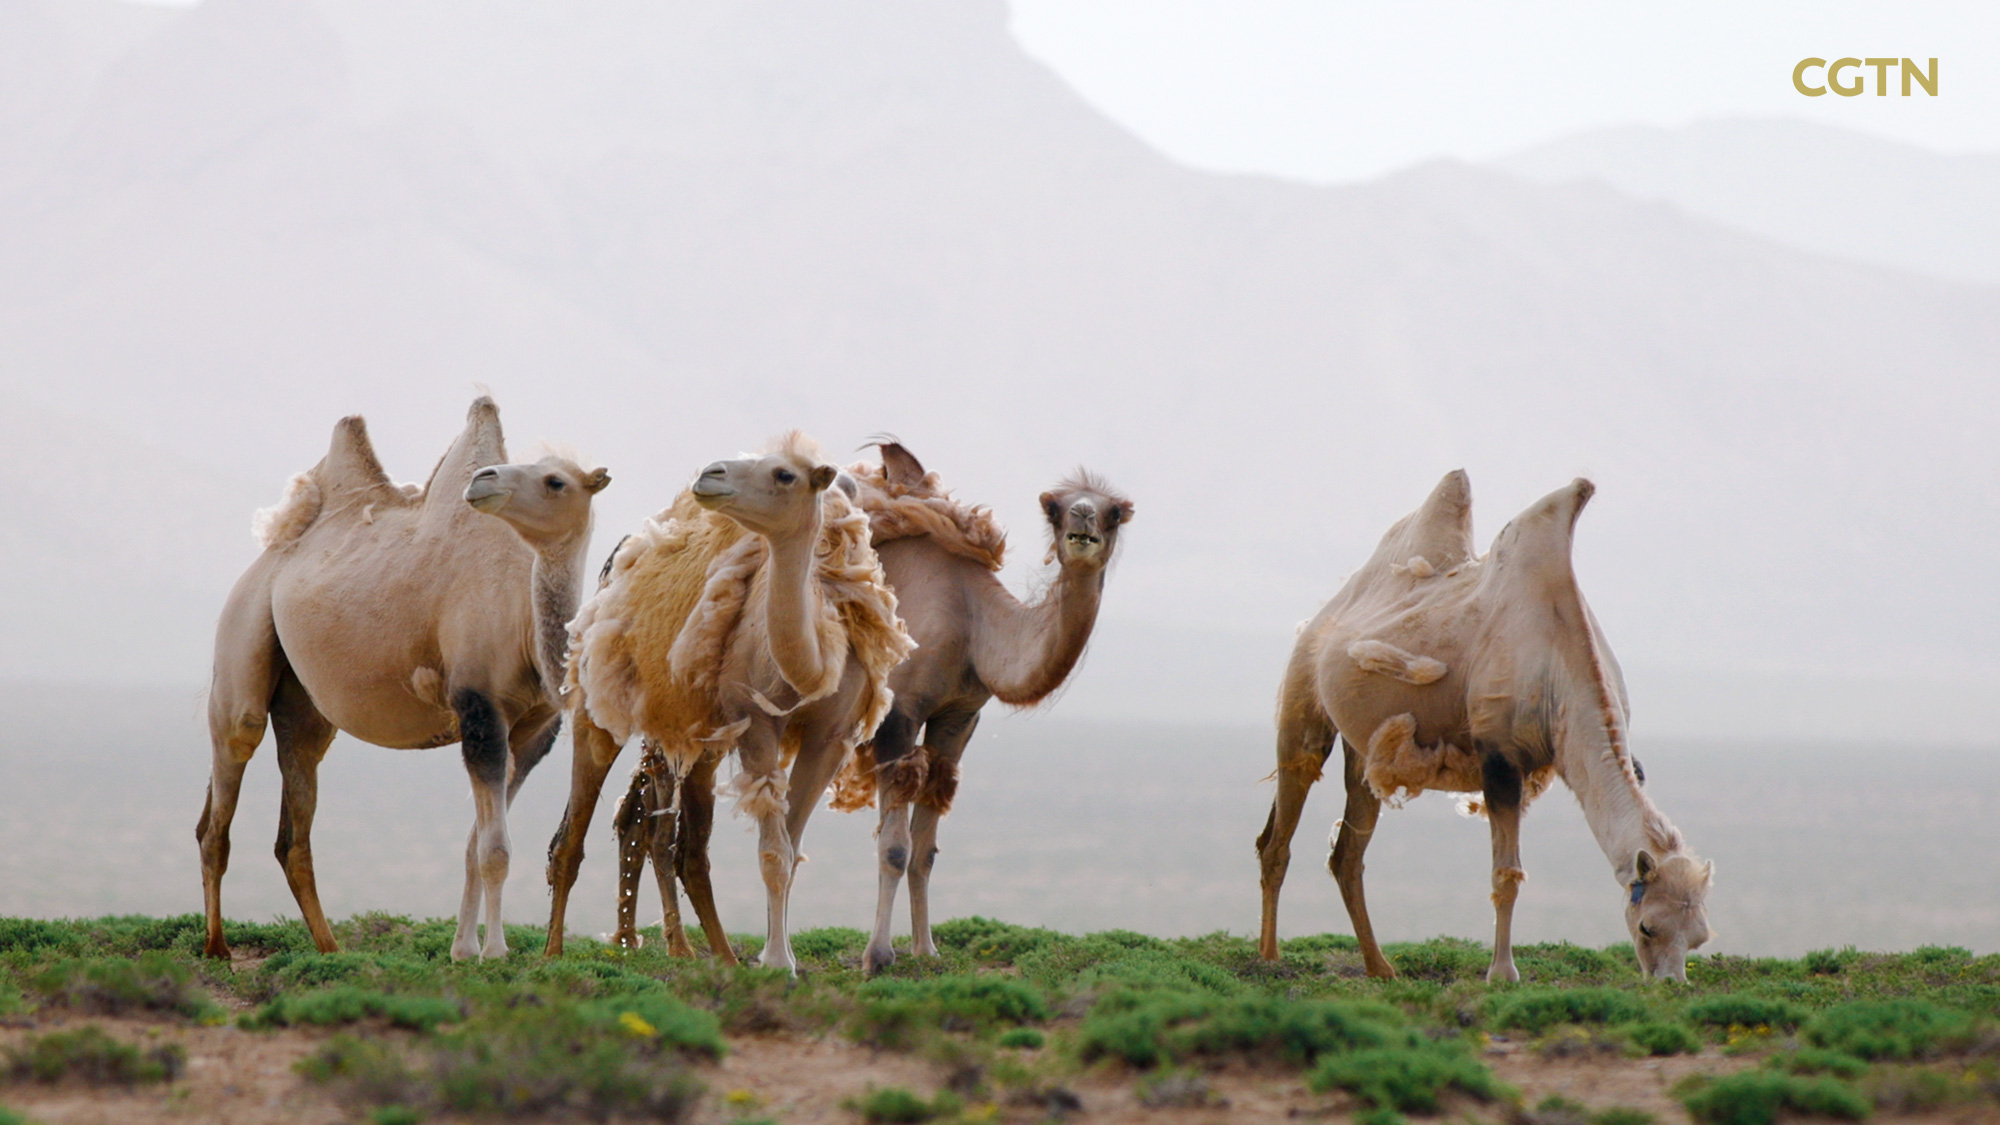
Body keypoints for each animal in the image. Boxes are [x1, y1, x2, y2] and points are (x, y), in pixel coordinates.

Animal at [204, 394, 612, 952]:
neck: (522, 620)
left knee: (293, 813)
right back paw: (217, 947)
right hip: (242, 624)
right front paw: (495, 952)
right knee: (232, 764)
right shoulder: (479, 708)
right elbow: (494, 850)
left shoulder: (534, 730)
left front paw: (463, 950)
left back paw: (331, 950)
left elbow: (474, 843)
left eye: (555, 481)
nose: (482, 480)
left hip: (304, 700)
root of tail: (270, 552)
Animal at [544, 434, 912, 968]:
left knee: (674, 842)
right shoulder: (755, 721)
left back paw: (712, 954)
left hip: (692, 734)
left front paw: (777, 956)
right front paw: (778, 964)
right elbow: (774, 853)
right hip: (601, 709)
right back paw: (553, 951)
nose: (710, 475)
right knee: (574, 834)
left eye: (784, 474)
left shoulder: (832, 737)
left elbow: (791, 847)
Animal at [600, 442, 1136, 968]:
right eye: (1055, 508)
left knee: (642, 811)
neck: (972, 620)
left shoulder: (959, 716)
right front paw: (877, 956)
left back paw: (657, 942)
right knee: (655, 815)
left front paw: (926, 949)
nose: (1082, 522)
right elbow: (895, 847)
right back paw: (677, 947)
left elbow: (925, 848)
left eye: (1115, 512)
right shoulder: (898, 712)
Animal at [1256, 468, 1712, 976]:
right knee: (1280, 828)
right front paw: (1502, 973)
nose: (1669, 982)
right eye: (1648, 926)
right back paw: (1269, 956)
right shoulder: (1499, 758)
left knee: (1347, 855)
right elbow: (1506, 874)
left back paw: (1381, 969)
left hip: (1367, 747)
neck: (1560, 668)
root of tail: (1327, 610)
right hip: (1303, 693)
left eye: (1699, 938)